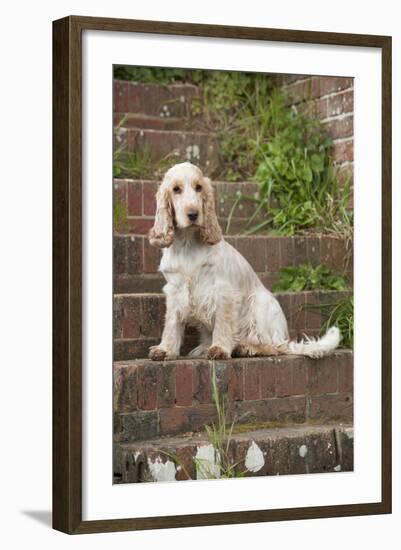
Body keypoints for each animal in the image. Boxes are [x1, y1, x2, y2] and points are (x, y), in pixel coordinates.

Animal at [148, 163, 340, 362]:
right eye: (176, 189)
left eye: (198, 187)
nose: (193, 214)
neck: (187, 243)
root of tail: (285, 338)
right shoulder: (175, 291)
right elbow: (172, 324)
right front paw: (165, 350)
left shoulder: (224, 292)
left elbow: (223, 324)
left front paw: (220, 349)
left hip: (262, 303)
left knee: (275, 347)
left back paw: (247, 348)